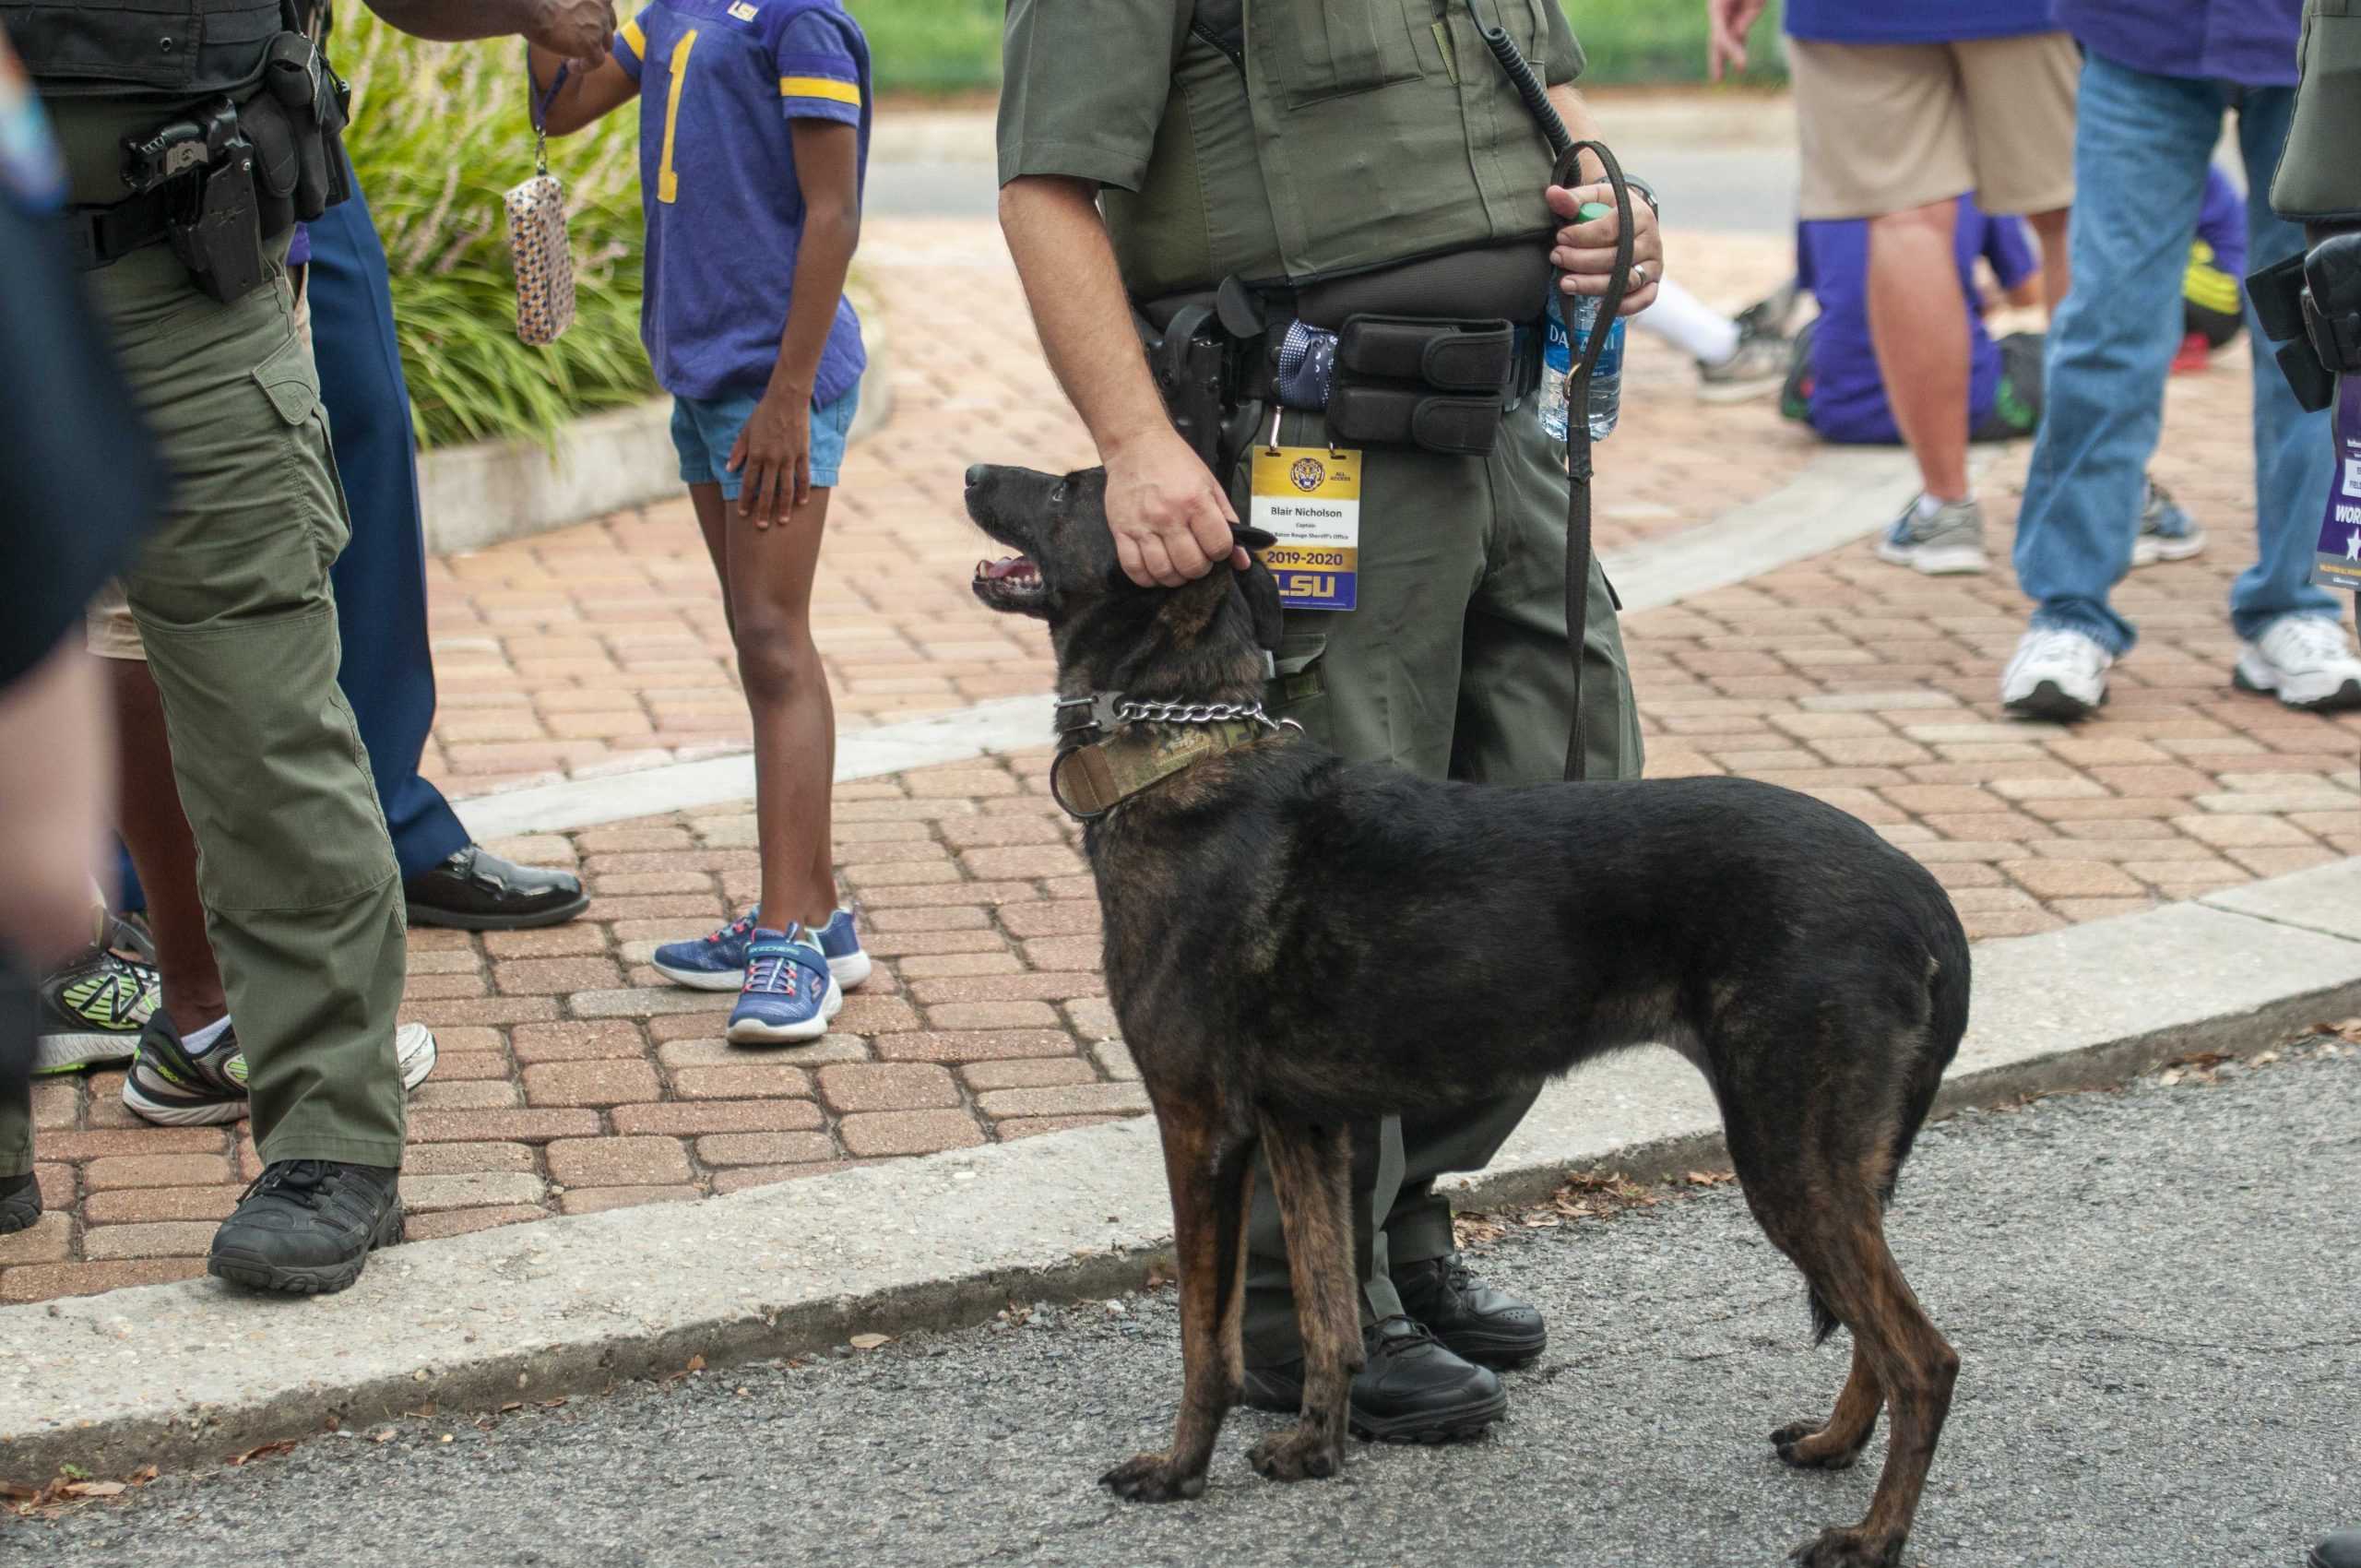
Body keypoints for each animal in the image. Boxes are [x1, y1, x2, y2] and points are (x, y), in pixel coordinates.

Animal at [958, 460, 1974, 1558]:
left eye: (1070, 489)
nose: (972, 472)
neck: (1187, 755)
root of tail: (1919, 888)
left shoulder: (1200, 1127)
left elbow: (1204, 1337)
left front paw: (1179, 1469)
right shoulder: (1302, 1127)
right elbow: (1328, 1309)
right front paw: (1317, 1445)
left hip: (1789, 1155)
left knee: (1925, 1355)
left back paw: (1872, 1535)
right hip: (1836, 1165)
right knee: (1877, 1329)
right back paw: (1835, 1443)